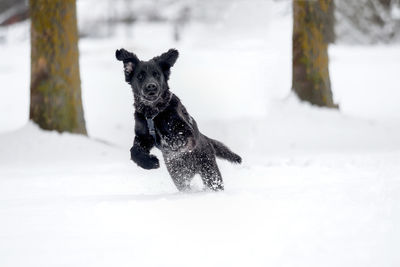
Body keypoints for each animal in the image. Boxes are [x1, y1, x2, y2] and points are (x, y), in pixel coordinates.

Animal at [115, 47, 241, 191]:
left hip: (209, 170)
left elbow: (180, 135)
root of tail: (205, 138)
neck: (154, 112)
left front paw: (174, 143)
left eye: (157, 74)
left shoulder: (185, 128)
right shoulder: (143, 137)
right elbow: (134, 151)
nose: (151, 86)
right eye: (140, 76)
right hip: (179, 175)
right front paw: (150, 163)